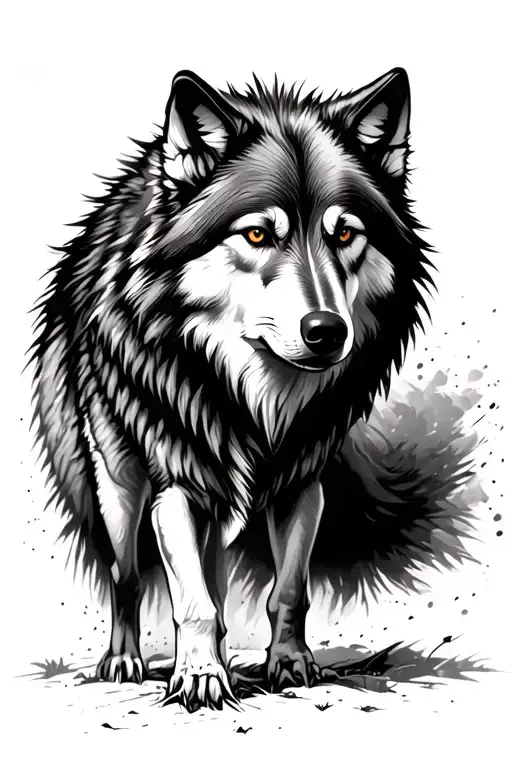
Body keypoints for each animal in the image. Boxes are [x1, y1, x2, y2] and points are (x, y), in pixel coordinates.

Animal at [31, 67, 476, 712]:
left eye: (345, 233)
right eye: (259, 233)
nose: (326, 332)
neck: (254, 398)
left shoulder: (301, 483)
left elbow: (287, 591)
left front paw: (288, 663)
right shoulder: (174, 483)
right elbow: (191, 602)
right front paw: (199, 677)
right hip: (119, 481)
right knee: (126, 573)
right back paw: (125, 660)